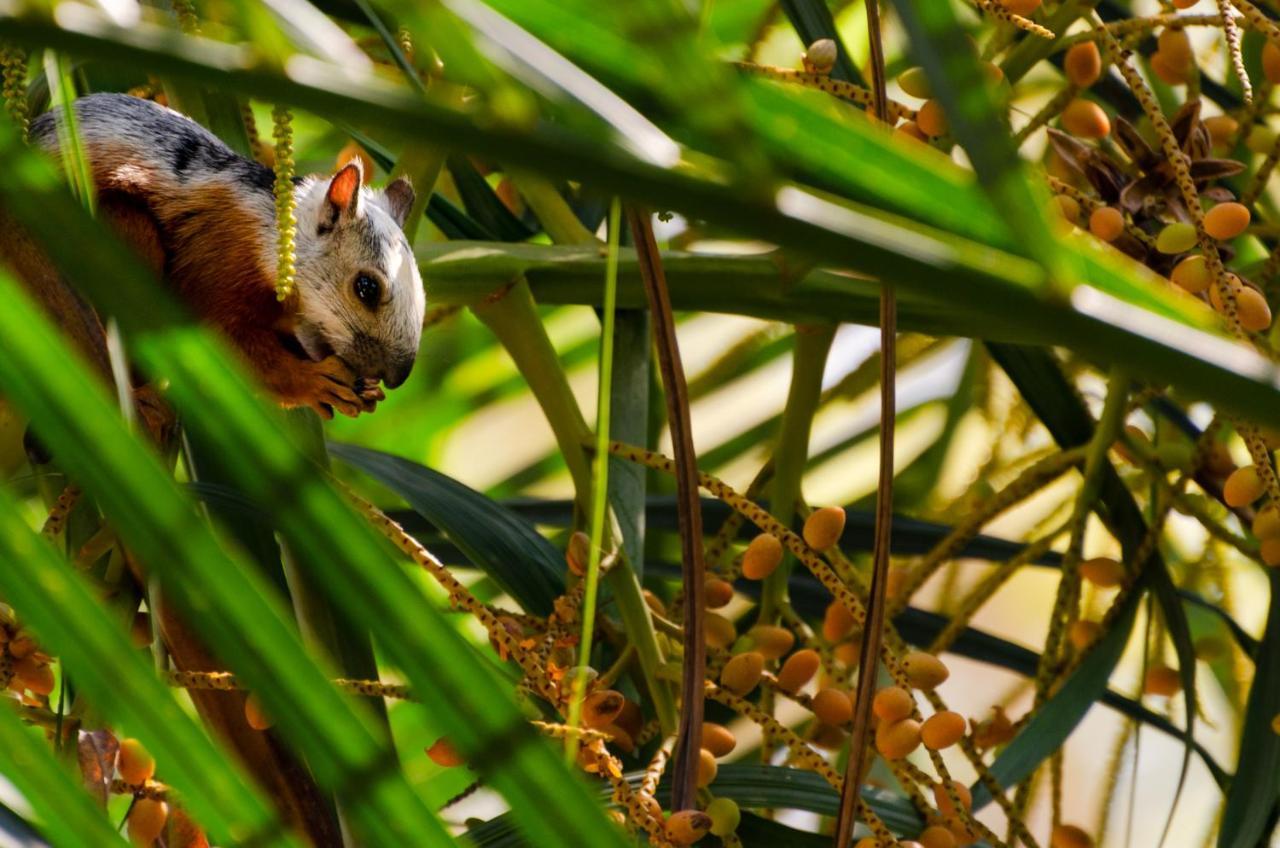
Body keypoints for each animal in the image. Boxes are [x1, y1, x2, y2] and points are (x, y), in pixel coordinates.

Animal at [5, 94, 427, 422]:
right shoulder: (216, 260)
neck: (269, 236)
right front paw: (314, 382)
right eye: (366, 287)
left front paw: (364, 391)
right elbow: (228, 342)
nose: (397, 376)